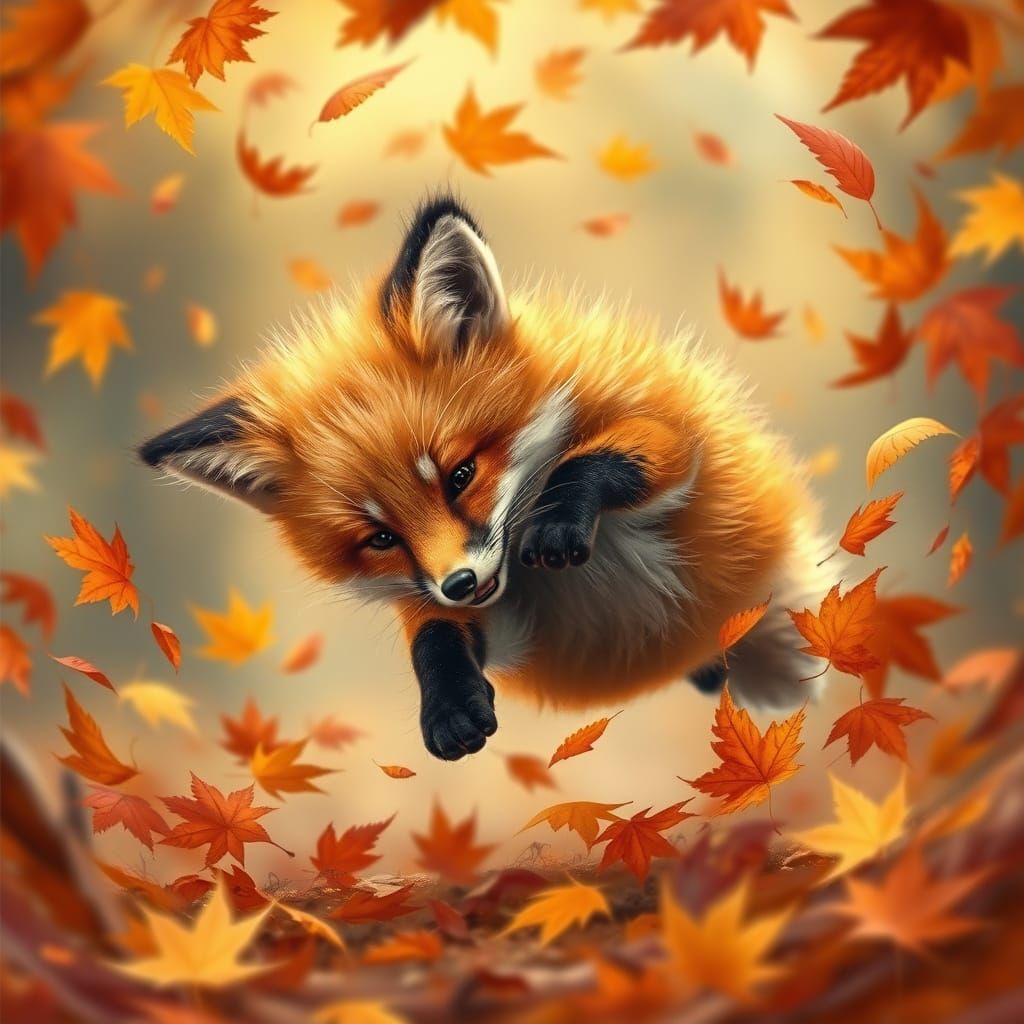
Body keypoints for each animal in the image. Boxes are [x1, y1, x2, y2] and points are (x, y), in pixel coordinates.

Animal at [140, 195, 829, 761]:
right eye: (380, 538)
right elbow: (433, 637)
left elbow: (598, 460)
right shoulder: (497, 617)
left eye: (461, 475)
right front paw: (449, 706)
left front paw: (556, 519)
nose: (461, 582)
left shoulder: (679, 439)